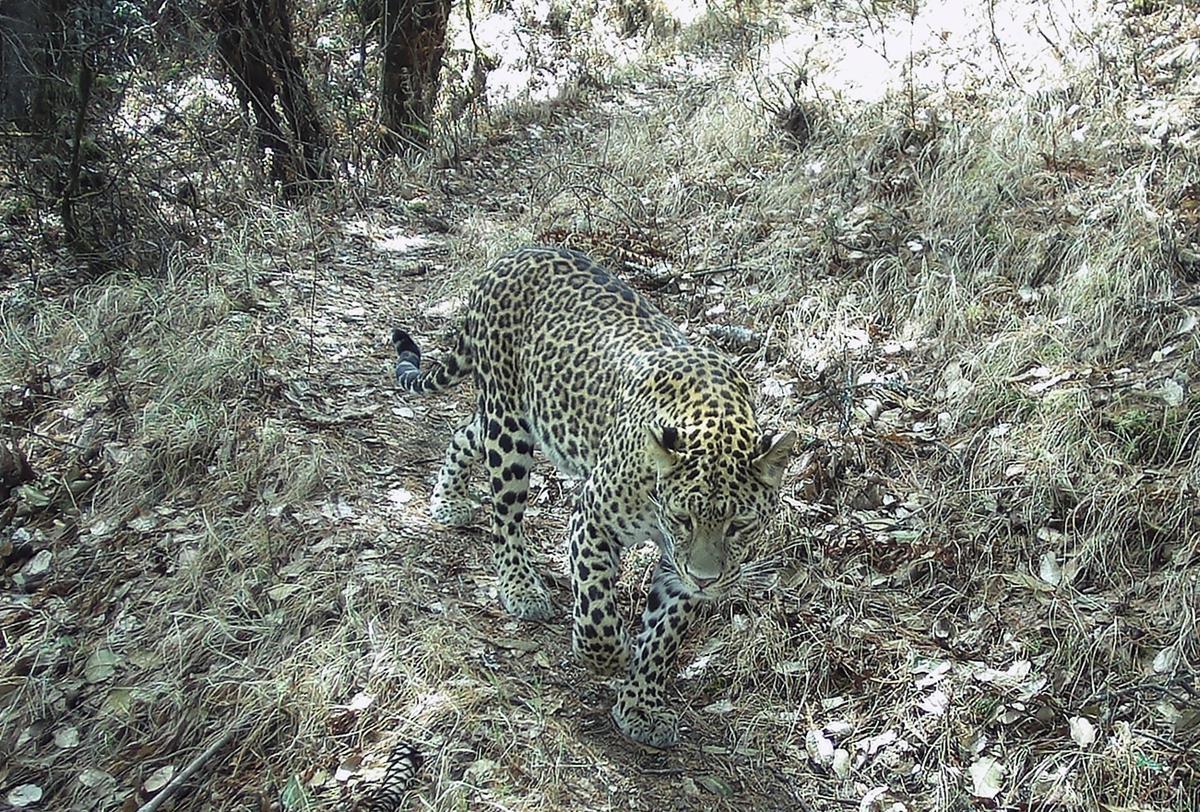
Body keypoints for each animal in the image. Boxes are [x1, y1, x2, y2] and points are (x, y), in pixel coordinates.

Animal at [391, 246, 795, 748]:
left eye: (739, 525)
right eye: (683, 518)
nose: (706, 581)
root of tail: (512, 256)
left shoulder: (675, 566)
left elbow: (664, 637)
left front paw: (641, 705)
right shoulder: (593, 520)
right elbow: (597, 610)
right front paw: (613, 653)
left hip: (506, 418)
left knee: (466, 431)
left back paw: (447, 499)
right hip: (510, 429)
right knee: (505, 515)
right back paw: (520, 585)